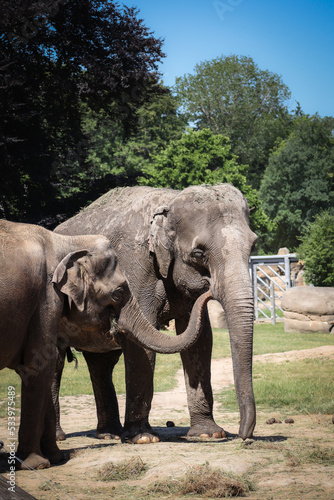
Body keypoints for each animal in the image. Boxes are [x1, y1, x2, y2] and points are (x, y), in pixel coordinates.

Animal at [0, 219, 213, 468]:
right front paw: (37, 463)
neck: (67, 242)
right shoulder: (46, 298)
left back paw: (106, 435)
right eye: (119, 292)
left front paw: (55, 458)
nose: (208, 286)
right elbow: (39, 366)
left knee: (99, 364)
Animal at [55, 184, 258, 442]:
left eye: (253, 246)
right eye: (199, 253)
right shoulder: (134, 266)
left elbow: (200, 339)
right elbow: (141, 339)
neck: (169, 201)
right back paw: (60, 437)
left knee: (101, 362)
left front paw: (209, 434)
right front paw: (143, 438)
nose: (245, 436)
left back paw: (109, 434)